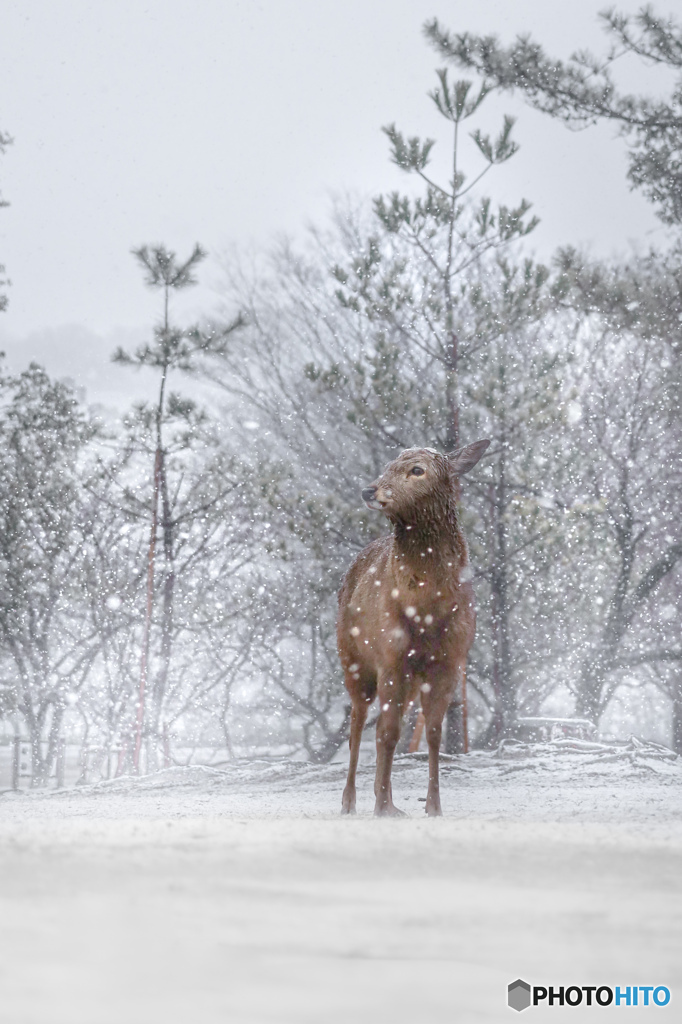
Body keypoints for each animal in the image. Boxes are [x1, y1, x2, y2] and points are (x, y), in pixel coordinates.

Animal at [335, 440, 485, 815]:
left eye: (417, 470)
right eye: (388, 465)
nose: (369, 490)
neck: (426, 611)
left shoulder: (449, 661)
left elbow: (432, 733)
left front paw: (434, 806)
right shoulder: (391, 655)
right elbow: (387, 733)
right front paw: (381, 808)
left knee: (390, 725)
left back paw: (386, 799)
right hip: (354, 660)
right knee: (359, 725)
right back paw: (350, 803)